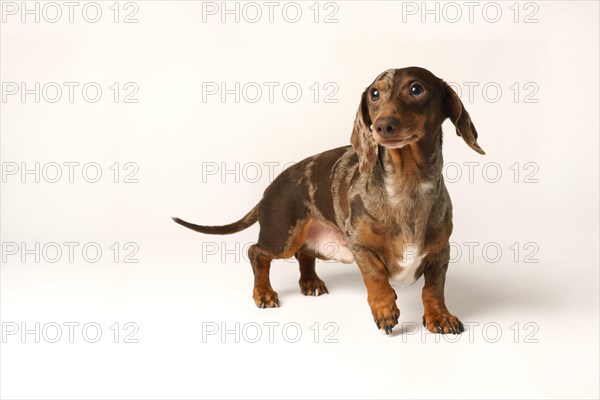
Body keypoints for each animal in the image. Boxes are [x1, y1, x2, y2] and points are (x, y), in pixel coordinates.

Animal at [173, 68, 482, 334]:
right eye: (375, 94)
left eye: (416, 89)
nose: (382, 126)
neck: (407, 184)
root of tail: (269, 188)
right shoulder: (358, 244)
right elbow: (376, 276)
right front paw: (384, 308)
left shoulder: (440, 252)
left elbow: (434, 289)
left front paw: (439, 316)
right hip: (283, 237)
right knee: (256, 252)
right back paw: (264, 293)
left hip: (318, 244)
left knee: (303, 254)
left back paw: (309, 281)